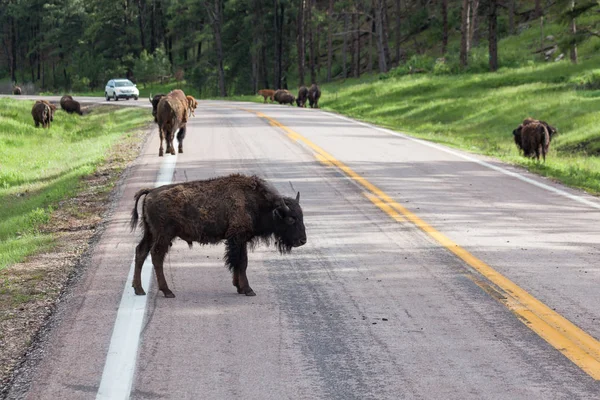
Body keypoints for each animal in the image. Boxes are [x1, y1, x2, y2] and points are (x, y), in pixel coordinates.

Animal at [129, 173, 308, 298]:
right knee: (156, 256)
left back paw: (139, 289)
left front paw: (239, 287)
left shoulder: (240, 240)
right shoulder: (237, 238)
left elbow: (240, 262)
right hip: (163, 235)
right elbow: (240, 262)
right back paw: (167, 291)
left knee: (141, 251)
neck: (257, 202)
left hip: (150, 233)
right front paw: (248, 289)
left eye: (302, 216)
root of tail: (150, 192)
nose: (302, 240)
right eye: (291, 219)